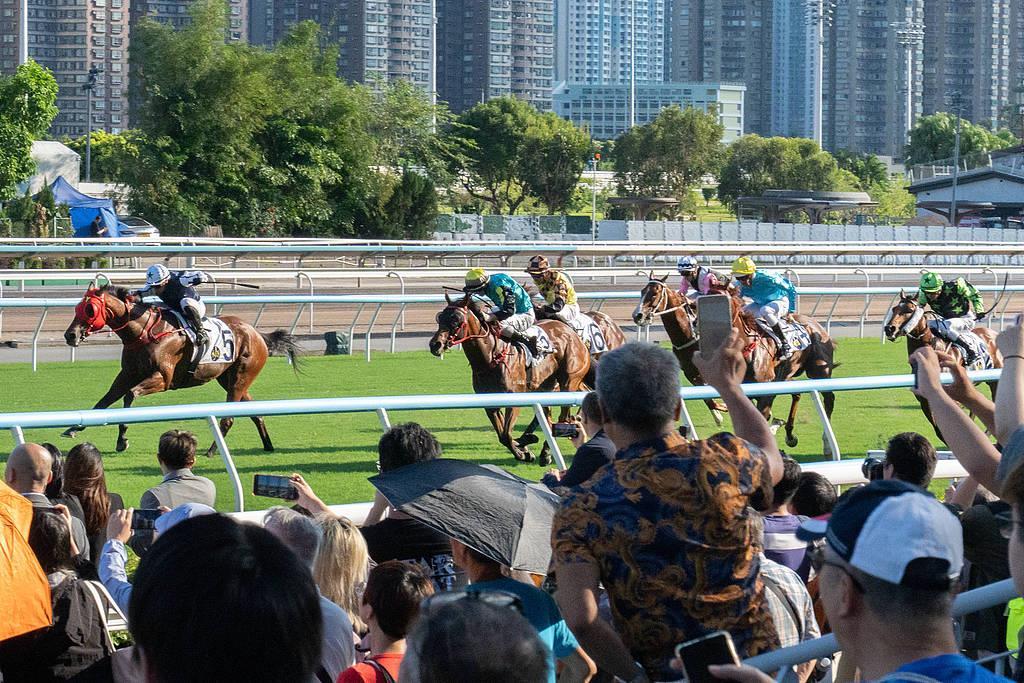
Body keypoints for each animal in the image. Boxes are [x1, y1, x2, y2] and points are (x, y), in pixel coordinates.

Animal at [62, 285, 301, 455]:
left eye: (90, 310)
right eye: (77, 308)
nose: (70, 335)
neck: (145, 332)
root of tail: (257, 333)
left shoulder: (163, 378)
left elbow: (129, 396)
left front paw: (122, 440)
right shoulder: (127, 375)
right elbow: (104, 401)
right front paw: (73, 428)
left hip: (240, 378)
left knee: (228, 419)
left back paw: (212, 451)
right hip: (230, 379)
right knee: (255, 413)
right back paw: (268, 445)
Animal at [428, 293, 590, 465]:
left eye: (456, 320)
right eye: (440, 318)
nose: (435, 345)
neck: (491, 358)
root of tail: (572, 333)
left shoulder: (514, 400)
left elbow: (506, 434)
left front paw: (523, 452)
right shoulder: (489, 403)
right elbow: (502, 436)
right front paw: (525, 448)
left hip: (569, 381)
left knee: (563, 418)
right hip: (546, 387)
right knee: (549, 418)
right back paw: (544, 451)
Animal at [632, 275, 729, 425]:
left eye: (654, 293)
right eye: (642, 291)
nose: (637, 315)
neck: (688, 335)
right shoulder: (690, 372)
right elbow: (709, 399)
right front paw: (719, 415)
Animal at [883, 290, 1001, 439]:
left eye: (909, 310)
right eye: (894, 309)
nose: (889, 328)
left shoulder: (952, 397)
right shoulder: (925, 402)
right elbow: (940, 431)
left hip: (995, 380)